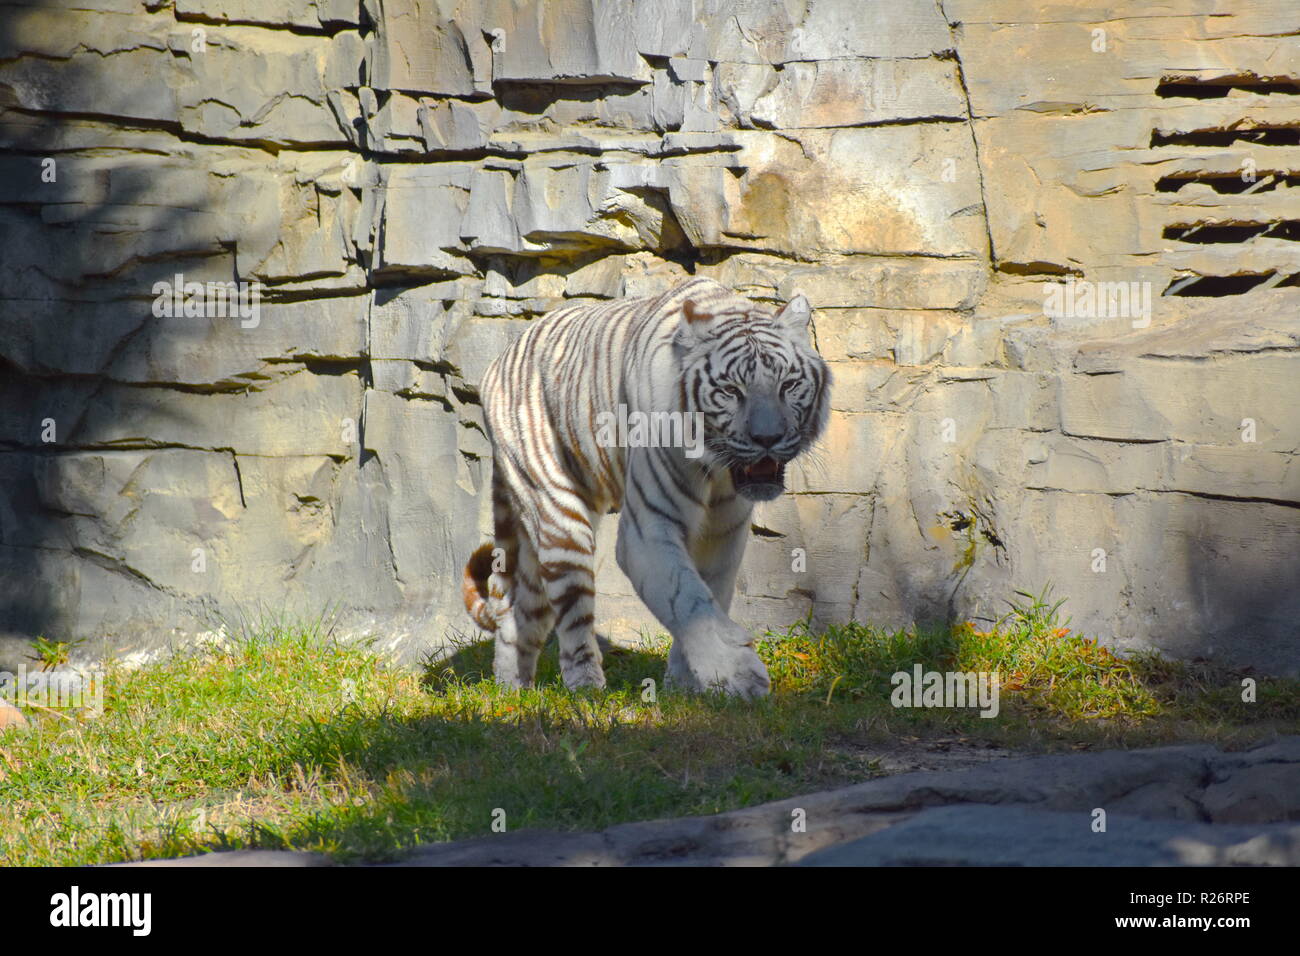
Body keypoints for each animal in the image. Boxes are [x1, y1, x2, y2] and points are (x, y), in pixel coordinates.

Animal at [462, 274, 826, 697]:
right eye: (731, 391)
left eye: (789, 385)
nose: (767, 438)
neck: (719, 469)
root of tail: (500, 358)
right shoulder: (648, 530)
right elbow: (688, 598)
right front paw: (739, 677)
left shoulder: (724, 531)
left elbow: (709, 597)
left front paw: (688, 685)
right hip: (558, 515)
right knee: (572, 615)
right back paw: (586, 688)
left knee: (520, 610)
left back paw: (511, 692)